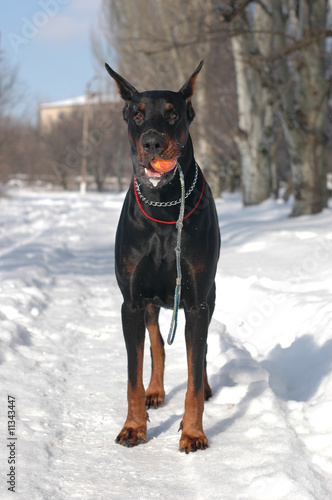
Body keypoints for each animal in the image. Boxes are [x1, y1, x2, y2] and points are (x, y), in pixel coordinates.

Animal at [106, 59, 220, 454]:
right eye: (137, 113)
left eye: (172, 113)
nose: (152, 141)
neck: (164, 204)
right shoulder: (131, 303)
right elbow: (132, 377)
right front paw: (133, 427)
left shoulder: (198, 301)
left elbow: (193, 374)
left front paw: (193, 432)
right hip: (153, 302)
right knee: (157, 345)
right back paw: (155, 392)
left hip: (206, 297)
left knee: (199, 356)